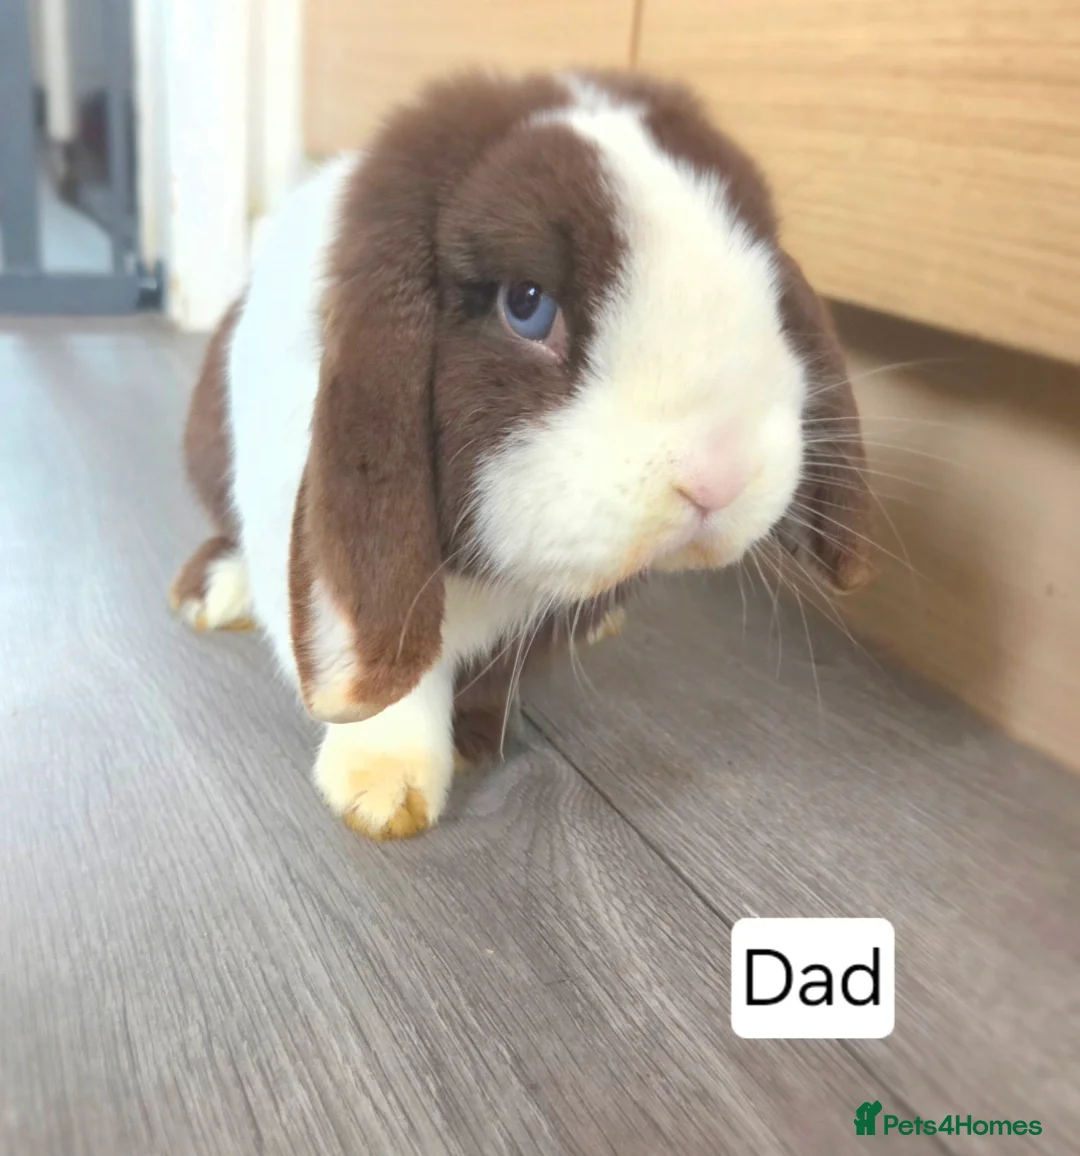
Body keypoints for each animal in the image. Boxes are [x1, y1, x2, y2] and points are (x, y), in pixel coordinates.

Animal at [170, 70, 873, 841]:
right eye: (526, 304)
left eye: (769, 288)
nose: (720, 478)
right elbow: (392, 675)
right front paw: (382, 796)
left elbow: (498, 670)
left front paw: (473, 741)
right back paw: (210, 596)